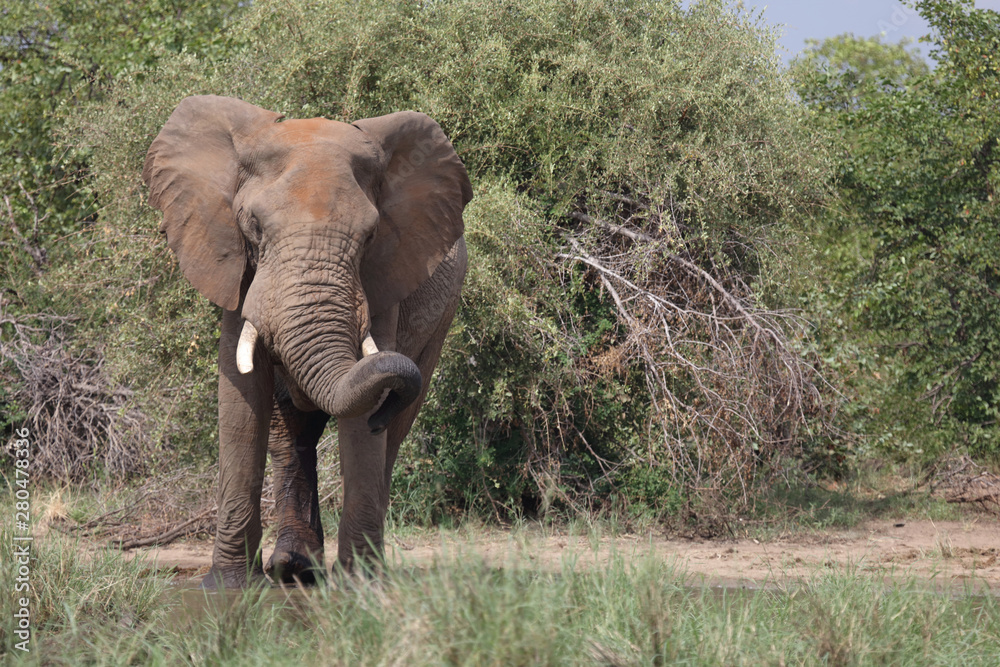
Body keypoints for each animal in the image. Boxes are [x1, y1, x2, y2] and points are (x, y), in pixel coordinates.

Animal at [142, 95, 472, 588]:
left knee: (394, 429)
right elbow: (241, 397)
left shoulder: (384, 278)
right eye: (254, 226)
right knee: (291, 435)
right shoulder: (234, 265)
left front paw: (361, 587)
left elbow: (362, 426)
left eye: (371, 236)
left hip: (442, 317)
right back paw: (292, 568)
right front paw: (226, 589)